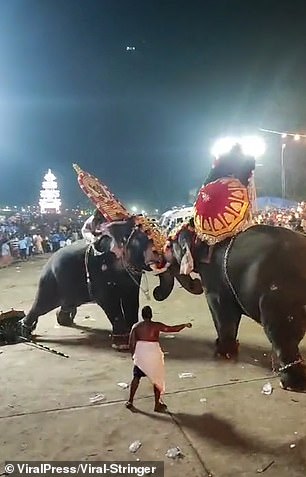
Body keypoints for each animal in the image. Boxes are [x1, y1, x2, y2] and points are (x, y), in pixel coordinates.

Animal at [17, 218, 173, 348]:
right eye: (146, 242)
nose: (156, 291)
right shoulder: (97, 268)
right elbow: (106, 300)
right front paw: (121, 344)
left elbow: (131, 297)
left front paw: (132, 332)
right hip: (49, 281)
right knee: (41, 306)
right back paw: (24, 332)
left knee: (65, 304)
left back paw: (63, 321)